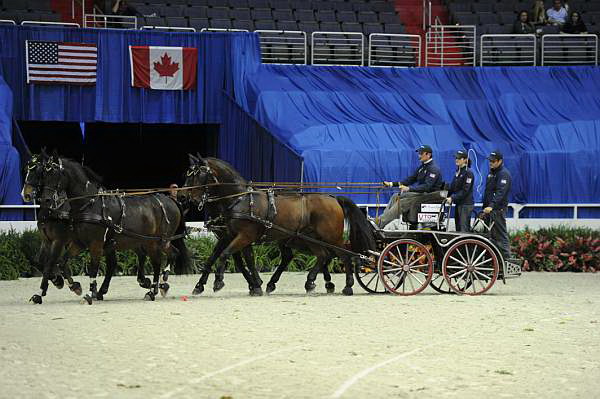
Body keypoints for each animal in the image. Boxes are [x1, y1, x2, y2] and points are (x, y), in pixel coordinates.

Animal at [38, 155, 189, 304]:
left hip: (156, 241)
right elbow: (62, 263)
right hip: (149, 242)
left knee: (158, 261)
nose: (46, 200)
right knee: (167, 256)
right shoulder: (78, 243)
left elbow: (93, 269)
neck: (89, 205)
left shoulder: (95, 244)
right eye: (44, 175)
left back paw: (153, 290)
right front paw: (74, 287)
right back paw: (157, 287)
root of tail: (170, 200)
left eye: (56, 175)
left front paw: (88, 295)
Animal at [182, 156, 376, 296]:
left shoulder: (243, 236)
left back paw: (347, 286)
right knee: (322, 256)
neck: (240, 199)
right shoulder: (234, 236)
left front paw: (218, 282)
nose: (185, 197)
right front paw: (255, 285)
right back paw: (309, 282)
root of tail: (333, 198)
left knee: (345, 256)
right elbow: (235, 259)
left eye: (198, 175)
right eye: (188, 175)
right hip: (309, 238)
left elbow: (225, 255)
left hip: (331, 237)